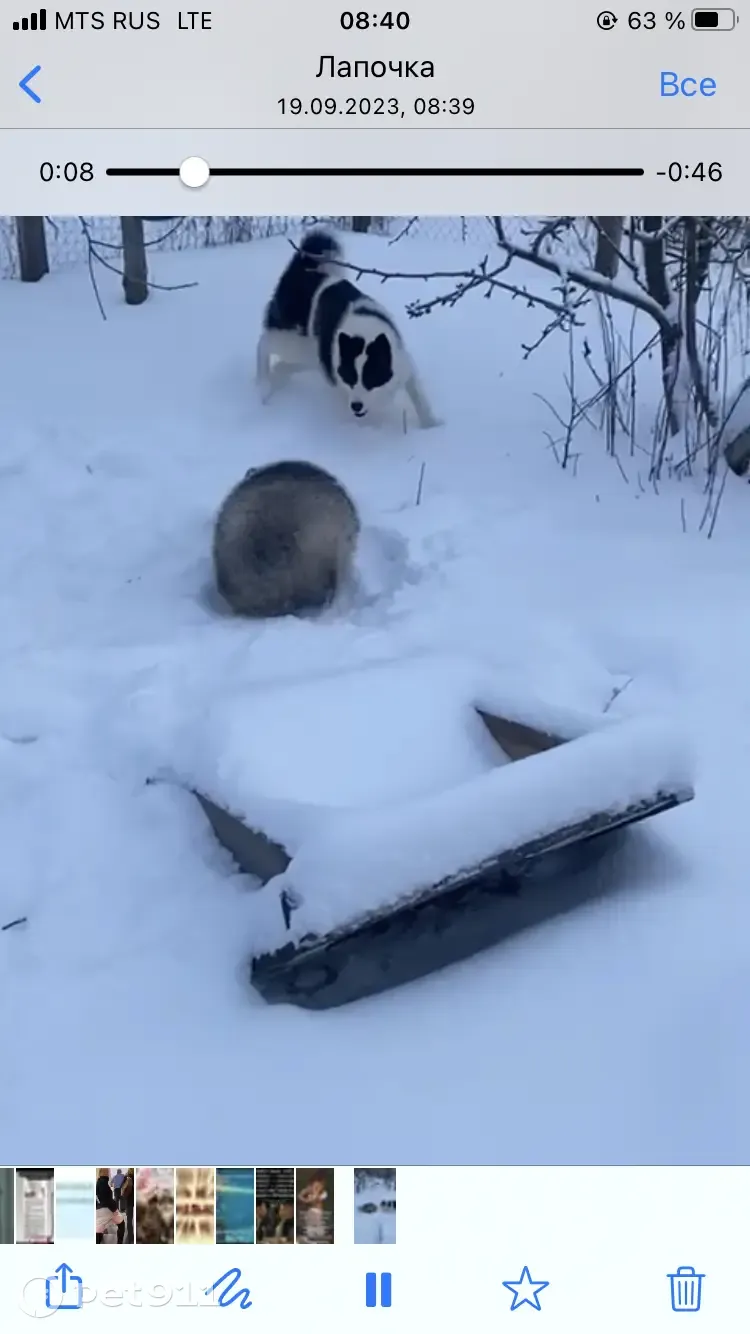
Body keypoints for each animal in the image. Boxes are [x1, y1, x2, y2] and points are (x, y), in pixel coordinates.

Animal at [254, 228, 437, 426]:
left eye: (370, 377)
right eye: (350, 377)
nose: (356, 406)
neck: (364, 334)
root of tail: (304, 269)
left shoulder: (403, 363)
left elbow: (418, 395)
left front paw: (432, 425)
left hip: (310, 353)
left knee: (286, 362)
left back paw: (278, 376)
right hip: (295, 342)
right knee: (263, 343)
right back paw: (263, 385)